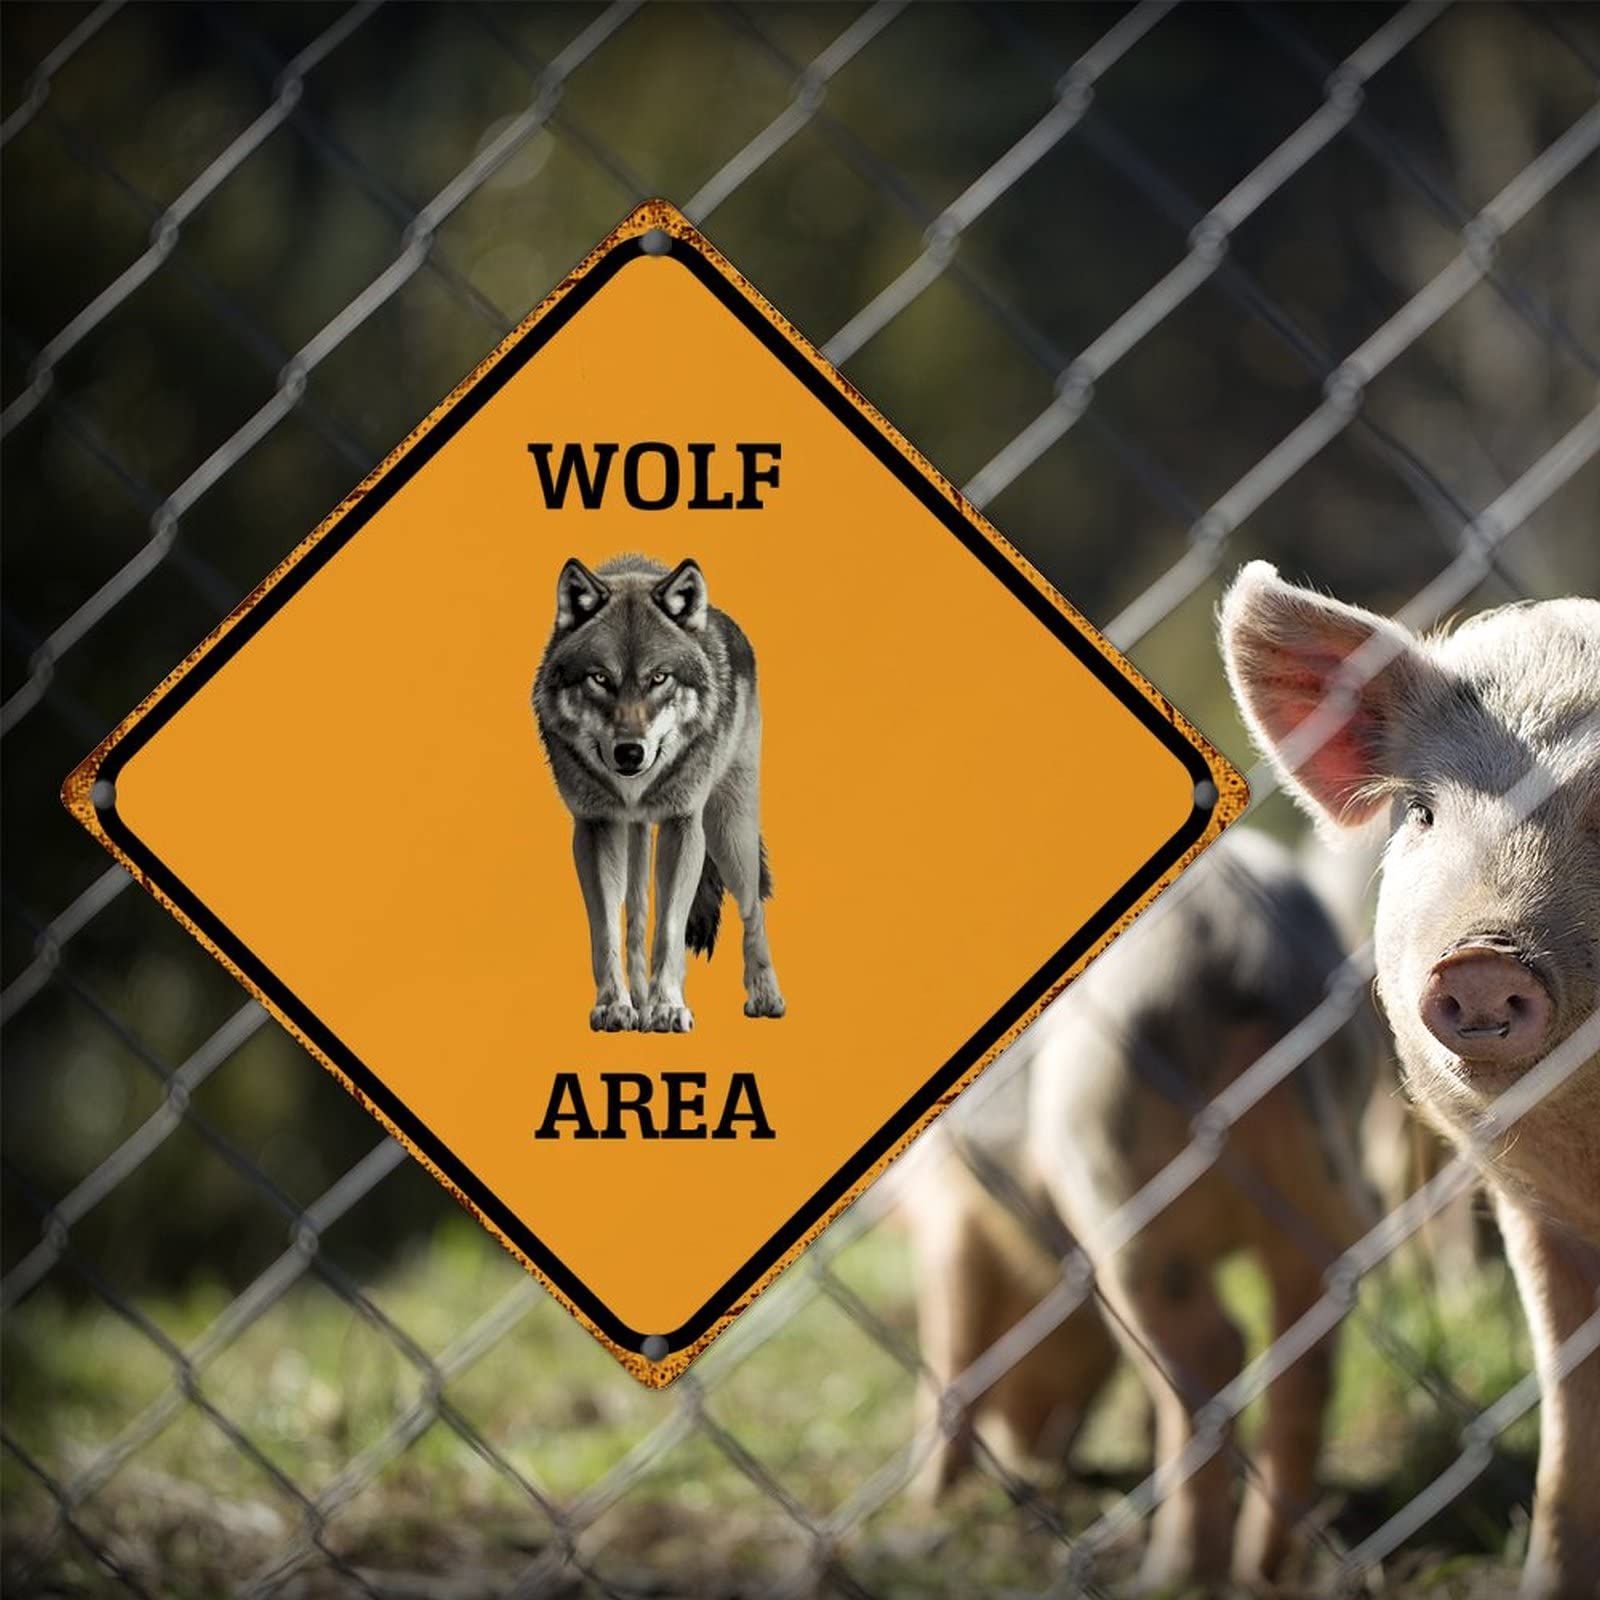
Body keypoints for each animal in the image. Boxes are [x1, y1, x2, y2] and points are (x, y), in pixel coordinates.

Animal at [532, 553, 785, 1033]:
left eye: (659, 678)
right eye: (600, 678)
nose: (630, 752)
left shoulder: (682, 823)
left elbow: (669, 928)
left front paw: (668, 1007)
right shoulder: (596, 826)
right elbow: (608, 930)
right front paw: (616, 1005)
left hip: (728, 834)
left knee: (754, 909)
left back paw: (765, 996)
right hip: (634, 835)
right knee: (635, 913)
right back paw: (639, 1001)